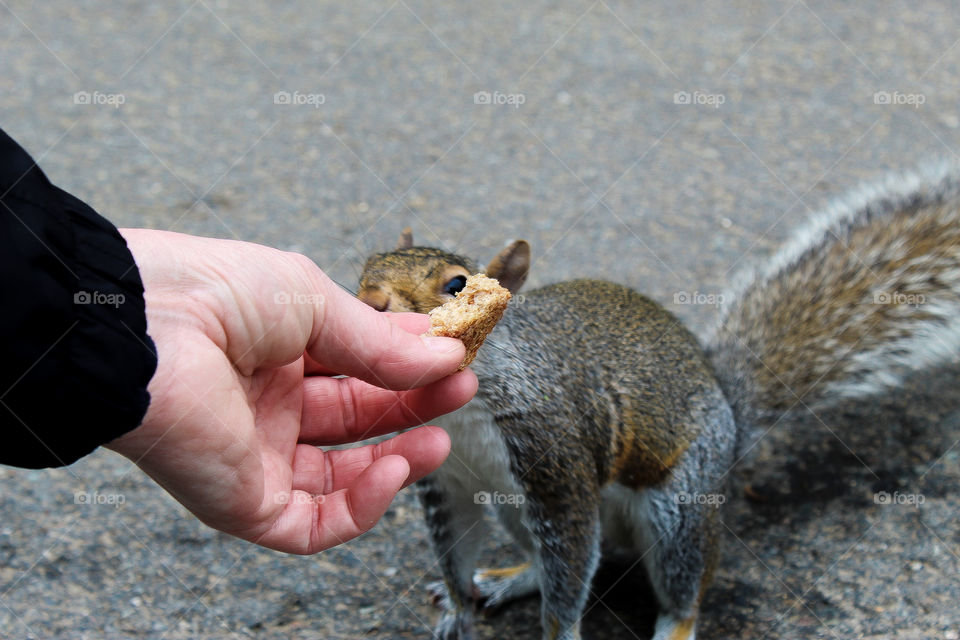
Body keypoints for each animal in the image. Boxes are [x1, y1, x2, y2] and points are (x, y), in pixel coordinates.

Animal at [352, 166, 960, 640]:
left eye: (457, 285)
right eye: (368, 264)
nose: (370, 300)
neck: (462, 409)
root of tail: (730, 416)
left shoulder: (559, 468)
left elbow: (568, 577)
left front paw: (558, 633)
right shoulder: (446, 482)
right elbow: (455, 551)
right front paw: (457, 612)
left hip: (679, 507)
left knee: (671, 580)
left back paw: (675, 624)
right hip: (511, 506)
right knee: (570, 561)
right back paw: (511, 578)